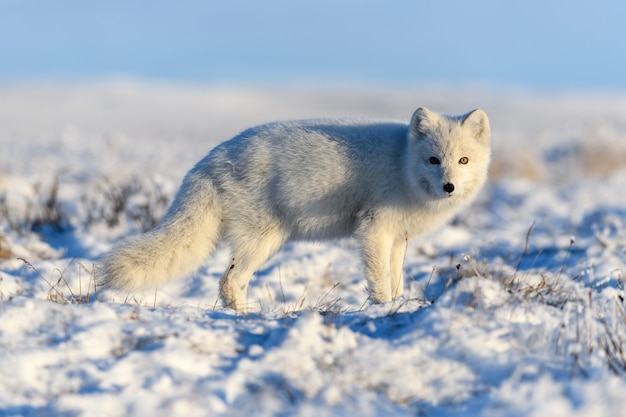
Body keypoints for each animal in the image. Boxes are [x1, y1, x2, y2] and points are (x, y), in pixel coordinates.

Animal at [98, 106, 488, 308]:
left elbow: (397, 279)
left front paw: (397, 303)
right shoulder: (374, 230)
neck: (402, 163)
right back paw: (243, 317)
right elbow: (380, 279)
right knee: (230, 281)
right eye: (433, 159)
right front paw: (382, 309)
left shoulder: (397, 239)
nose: (449, 186)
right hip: (264, 241)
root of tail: (211, 160)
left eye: (463, 160)